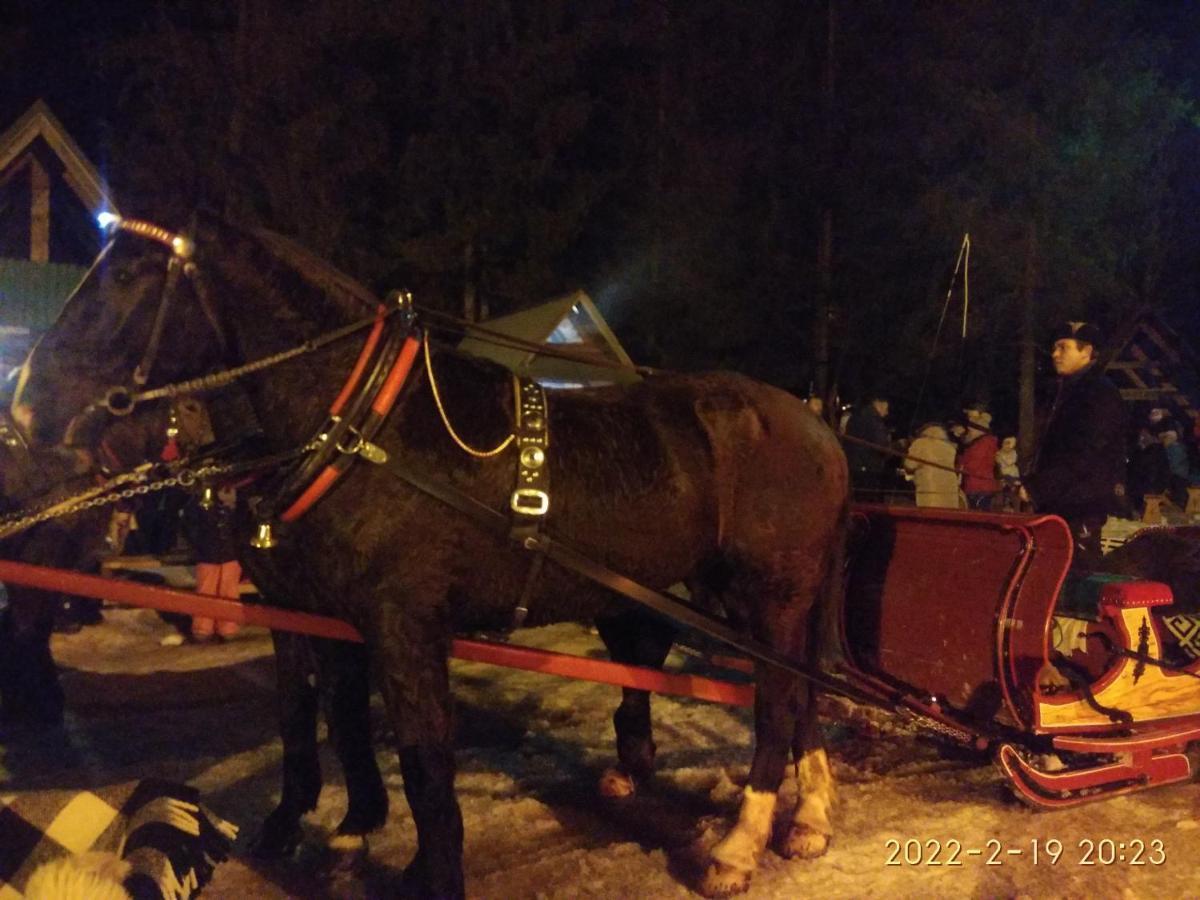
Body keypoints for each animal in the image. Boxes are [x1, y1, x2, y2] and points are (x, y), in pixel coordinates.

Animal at [14, 214, 849, 897]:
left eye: (127, 276)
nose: (26, 408)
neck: (365, 428)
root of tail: (817, 429)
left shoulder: (405, 625)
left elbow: (423, 763)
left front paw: (429, 870)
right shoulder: (321, 612)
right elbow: (329, 719)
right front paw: (346, 830)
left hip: (770, 594)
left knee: (776, 701)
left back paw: (739, 846)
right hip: (739, 595)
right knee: (796, 696)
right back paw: (806, 816)